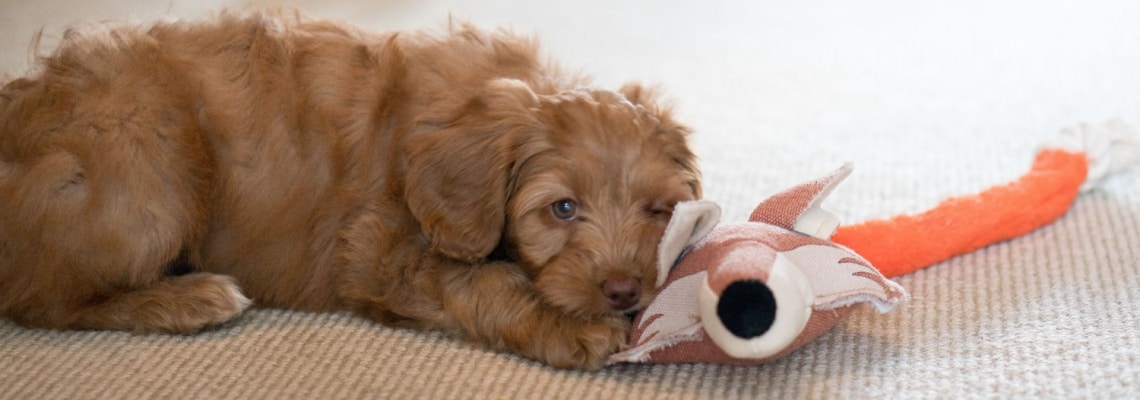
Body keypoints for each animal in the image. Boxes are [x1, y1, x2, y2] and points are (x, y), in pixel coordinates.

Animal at [0, 12, 697, 371]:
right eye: (562, 209)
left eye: (659, 210)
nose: (624, 291)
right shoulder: (379, 254)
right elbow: (480, 279)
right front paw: (567, 325)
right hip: (145, 177)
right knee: (46, 299)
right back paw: (187, 298)